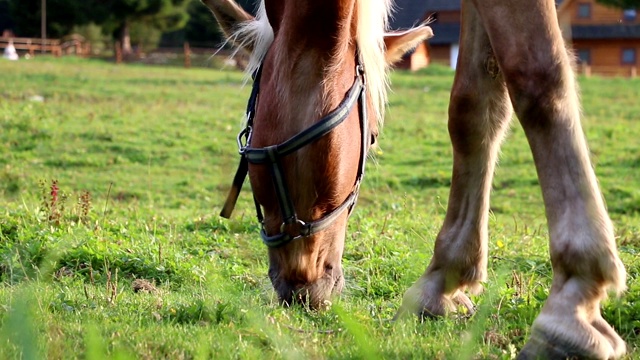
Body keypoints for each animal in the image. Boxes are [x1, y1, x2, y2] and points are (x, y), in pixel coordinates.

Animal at [202, 0, 628, 360]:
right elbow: (473, 105)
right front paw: (443, 281)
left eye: (372, 138)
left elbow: (537, 76)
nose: (298, 291)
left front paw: (573, 299)